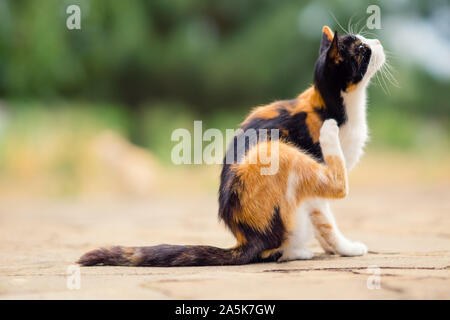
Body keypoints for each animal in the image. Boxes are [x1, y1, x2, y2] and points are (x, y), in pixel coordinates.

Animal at [78, 26, 386, 268]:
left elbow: (321, 223)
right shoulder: (314, 178)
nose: (378, 42)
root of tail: (245, 239)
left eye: (365, 40)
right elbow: (328, 221)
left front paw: (332, 249)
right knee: (334, 189)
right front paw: (347, 249)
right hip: (271, 150)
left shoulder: (312, 200)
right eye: (361, 48)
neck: (333, 106)